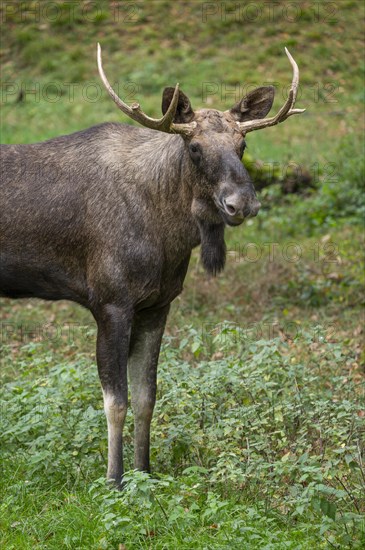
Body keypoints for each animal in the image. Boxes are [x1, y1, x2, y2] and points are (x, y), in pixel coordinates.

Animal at [0, 47, 304, 488]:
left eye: (243, 143)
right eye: (194, 147)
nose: (242, 203)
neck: (168, 234)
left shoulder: (158, 305)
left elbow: (148, 396)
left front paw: (145, 471)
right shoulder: (110, 302)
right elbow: (116, 401)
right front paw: (113, 479)